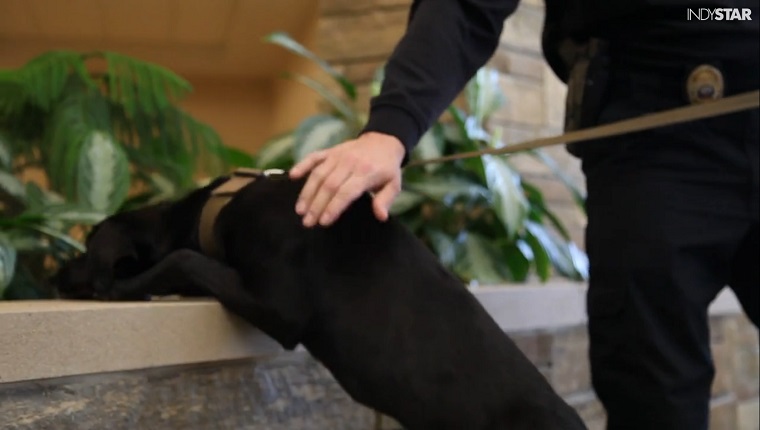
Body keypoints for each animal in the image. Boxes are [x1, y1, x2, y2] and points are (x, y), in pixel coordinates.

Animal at [55, 172, 588, 430]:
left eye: (85, 247)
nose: (56, 274)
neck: (218, 207)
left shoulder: (282, 308)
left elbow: (183, 258)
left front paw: (122, 287)